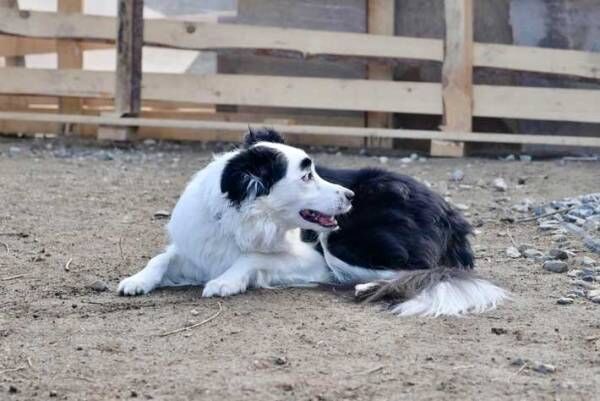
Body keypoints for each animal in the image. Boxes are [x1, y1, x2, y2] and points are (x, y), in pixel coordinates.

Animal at [119, 128, 508, 316]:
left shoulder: (311, 259)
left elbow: (251, 257)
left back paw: (368, 287)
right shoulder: (194, 247)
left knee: (424, 270)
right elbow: (161, 257)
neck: (237, 221)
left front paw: (226, 281)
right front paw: (136, 281)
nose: (350, 196)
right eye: (307, 176)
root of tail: (449, 213)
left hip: (342, 243)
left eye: (316, 171)